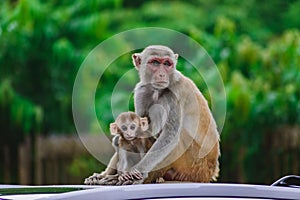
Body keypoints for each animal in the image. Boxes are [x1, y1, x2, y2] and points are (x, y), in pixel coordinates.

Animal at [85, 45, 220, 184]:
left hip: (194, 168)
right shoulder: (142, 91)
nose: (162, 74)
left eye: (167, 64)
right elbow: (140, 129)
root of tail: (210, 173)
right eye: (155, 62)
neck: (157, 90)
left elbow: (169, 137)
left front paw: (137, 172)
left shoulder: (174, 94)